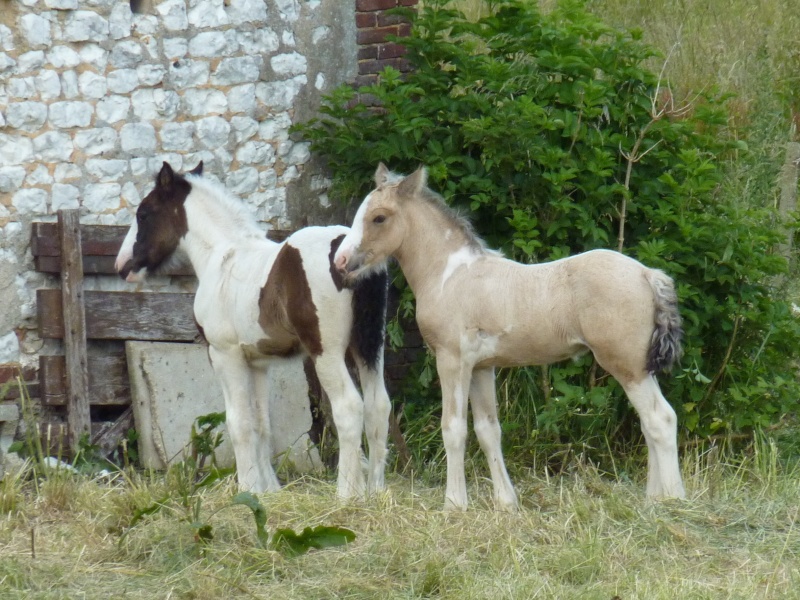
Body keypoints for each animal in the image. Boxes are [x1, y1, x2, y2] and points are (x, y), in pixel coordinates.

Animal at [117, 162, 392, 500]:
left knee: (349, 407)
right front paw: (268, 491)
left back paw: (347, 494)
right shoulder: (258, 362)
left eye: (143, 213)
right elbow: (262, 423)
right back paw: (376, 494)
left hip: (327, 353)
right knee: (379, 405)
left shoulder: (224, 354)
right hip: (369, 348)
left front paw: (246, 489)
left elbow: (240, 423)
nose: (122, 265)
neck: (222, 258)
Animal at [334, 164, 684, 510]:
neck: (449, 274)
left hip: (627, 366)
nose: (340, 261)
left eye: (379, 217)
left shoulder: (452, 360)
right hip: (640, 367)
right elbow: (488, 430)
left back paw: (671, 500)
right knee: (649, 422)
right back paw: (653, 498)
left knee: (660, 418)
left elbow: (453, 428)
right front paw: (506, 503)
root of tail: (648, 274)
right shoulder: (481, 367)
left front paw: (454, 504)